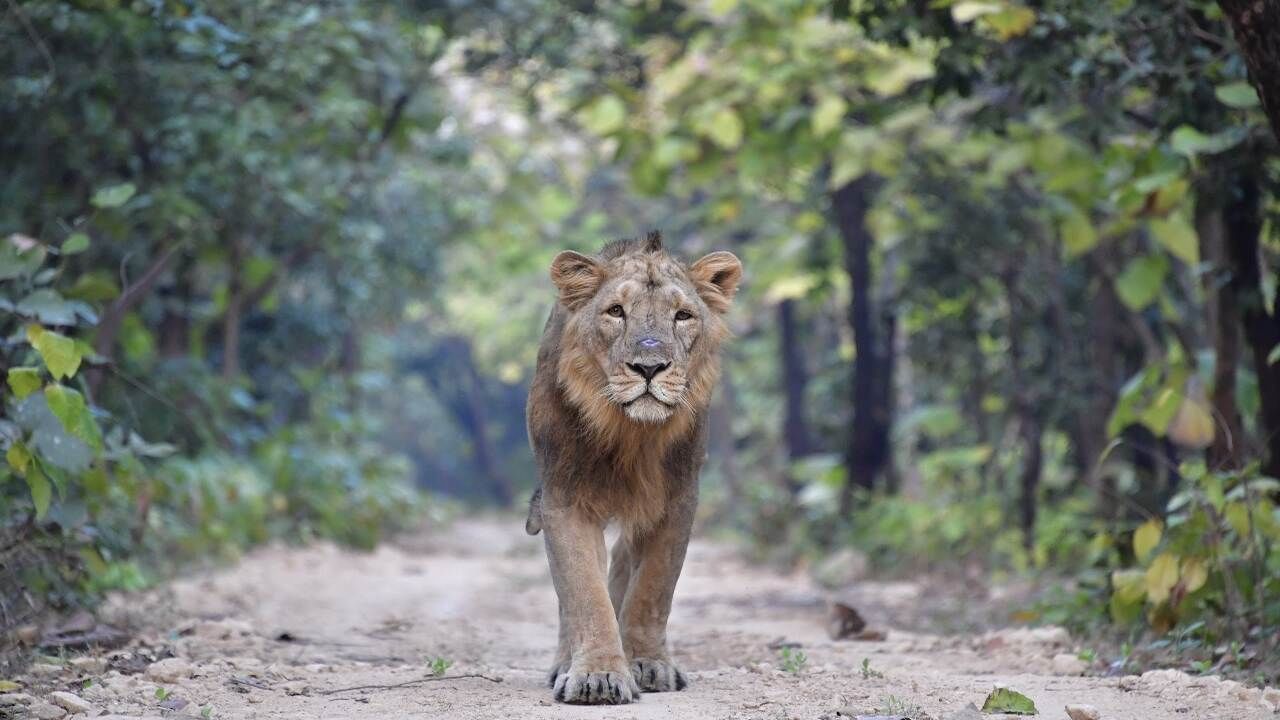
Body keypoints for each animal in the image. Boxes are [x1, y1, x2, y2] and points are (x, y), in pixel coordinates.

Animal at [524, 231, 742, 705]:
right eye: (615, 312)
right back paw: (565, 664)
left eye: (683, 316)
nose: (649, 367)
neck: (631, 433)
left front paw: (646, 663)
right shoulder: (564, 498)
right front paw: (597, 676)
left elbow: (651, 590)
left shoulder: (678, 500)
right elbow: (584, 593)